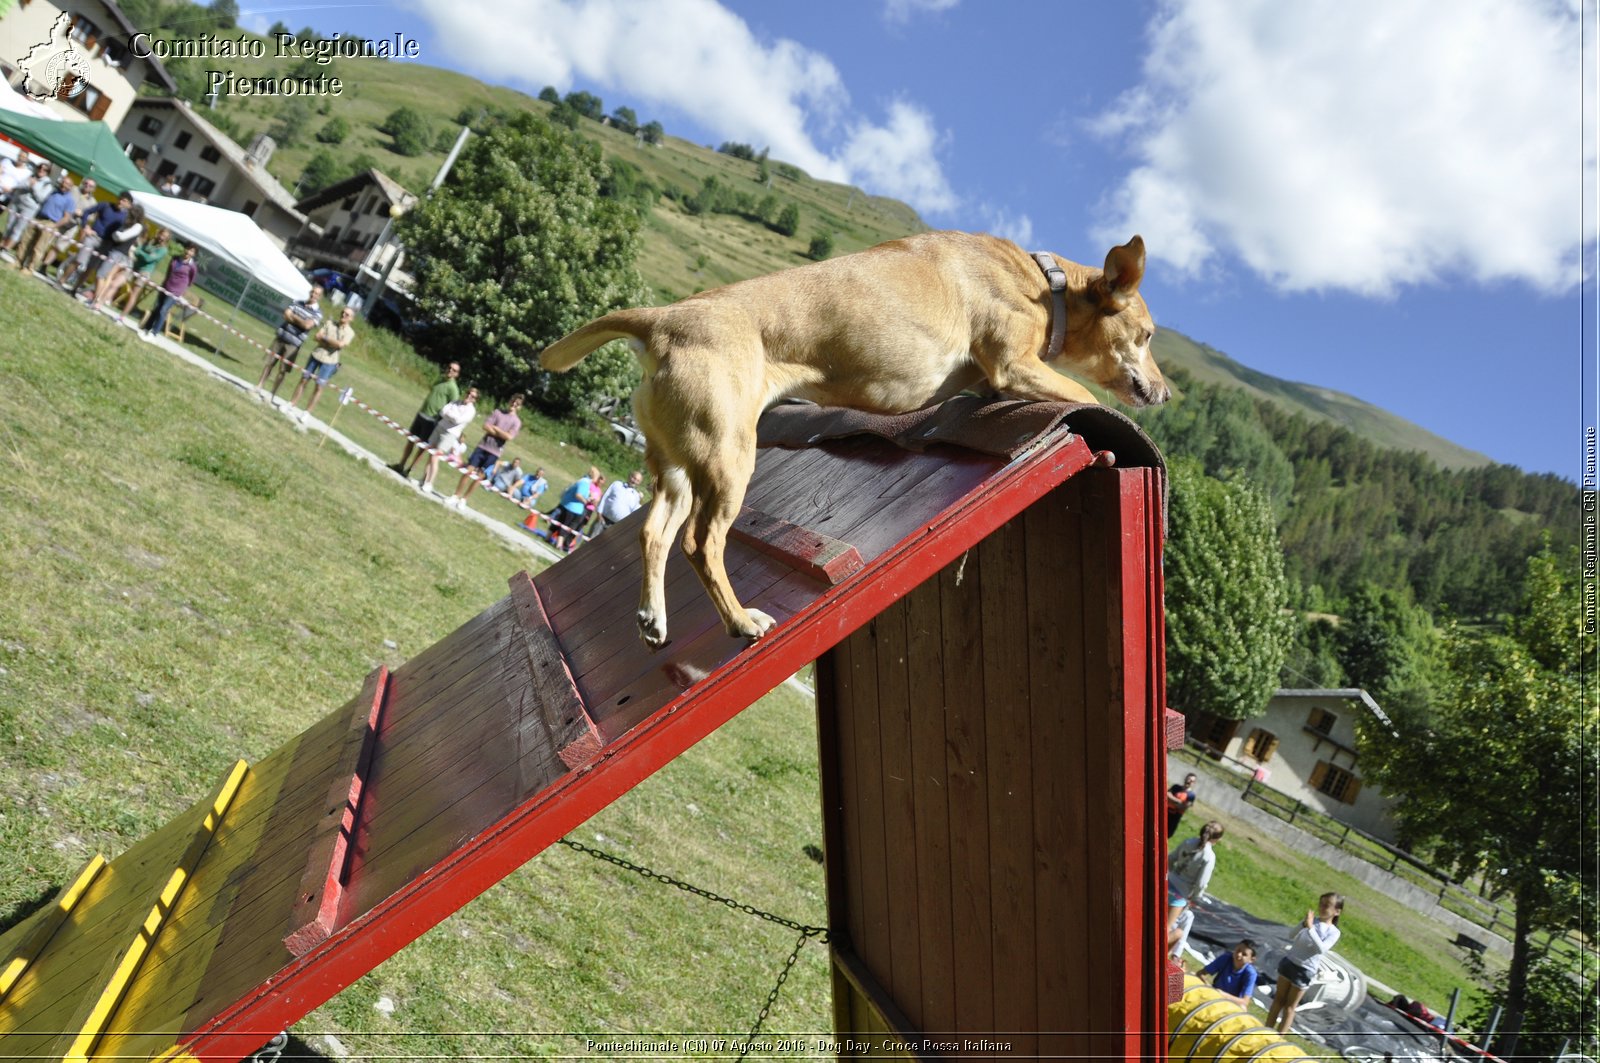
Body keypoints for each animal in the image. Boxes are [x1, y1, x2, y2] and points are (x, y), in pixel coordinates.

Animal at [544, 230, 1171, 646]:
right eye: (1144, 336)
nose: (1164, 394)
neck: (1049, 285)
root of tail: (661, 320)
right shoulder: (1012, 362)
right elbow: (1082, 393)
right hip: (727, 458)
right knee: (701, 544)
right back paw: (741, 621)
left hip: (676, 465)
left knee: (654, 532)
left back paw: (654, 619)